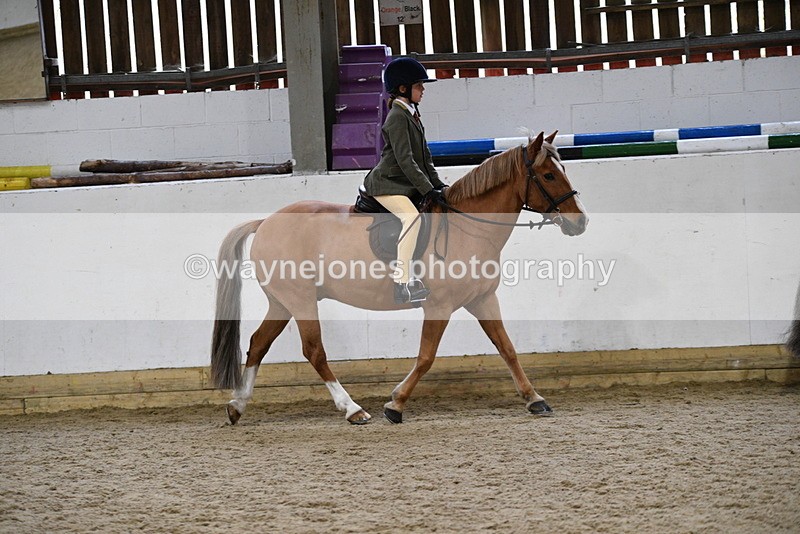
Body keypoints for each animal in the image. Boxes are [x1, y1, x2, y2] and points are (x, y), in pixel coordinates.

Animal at [210, 131, 588, 425]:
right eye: (549, 175)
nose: (580, 221)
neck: (468, 228)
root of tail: (265, 222)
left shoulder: (483, 299)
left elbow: (507, 348)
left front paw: (535, 399)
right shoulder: (439, 306)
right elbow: (426, 357)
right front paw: (395, 403)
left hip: (282, 302)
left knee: (259, 343)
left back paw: (236, 406)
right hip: (300, 301)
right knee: (314, 351)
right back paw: (353, 410)